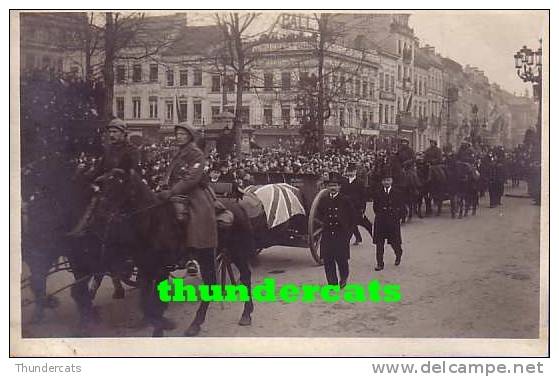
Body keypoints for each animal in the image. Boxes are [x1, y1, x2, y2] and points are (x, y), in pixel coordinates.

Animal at [90, 169, 256, 336]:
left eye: (117, 182)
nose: (99, 214)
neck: (154, 221)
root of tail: (238, 206)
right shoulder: (145, 269)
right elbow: (145, 302)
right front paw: (156, 321)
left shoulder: (161, 269)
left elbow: (156, 301)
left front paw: (160, 326)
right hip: (210, 255)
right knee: (211, 283)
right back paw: (197, 323)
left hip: (236, 252)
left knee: (244, 276)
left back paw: (245, 314)